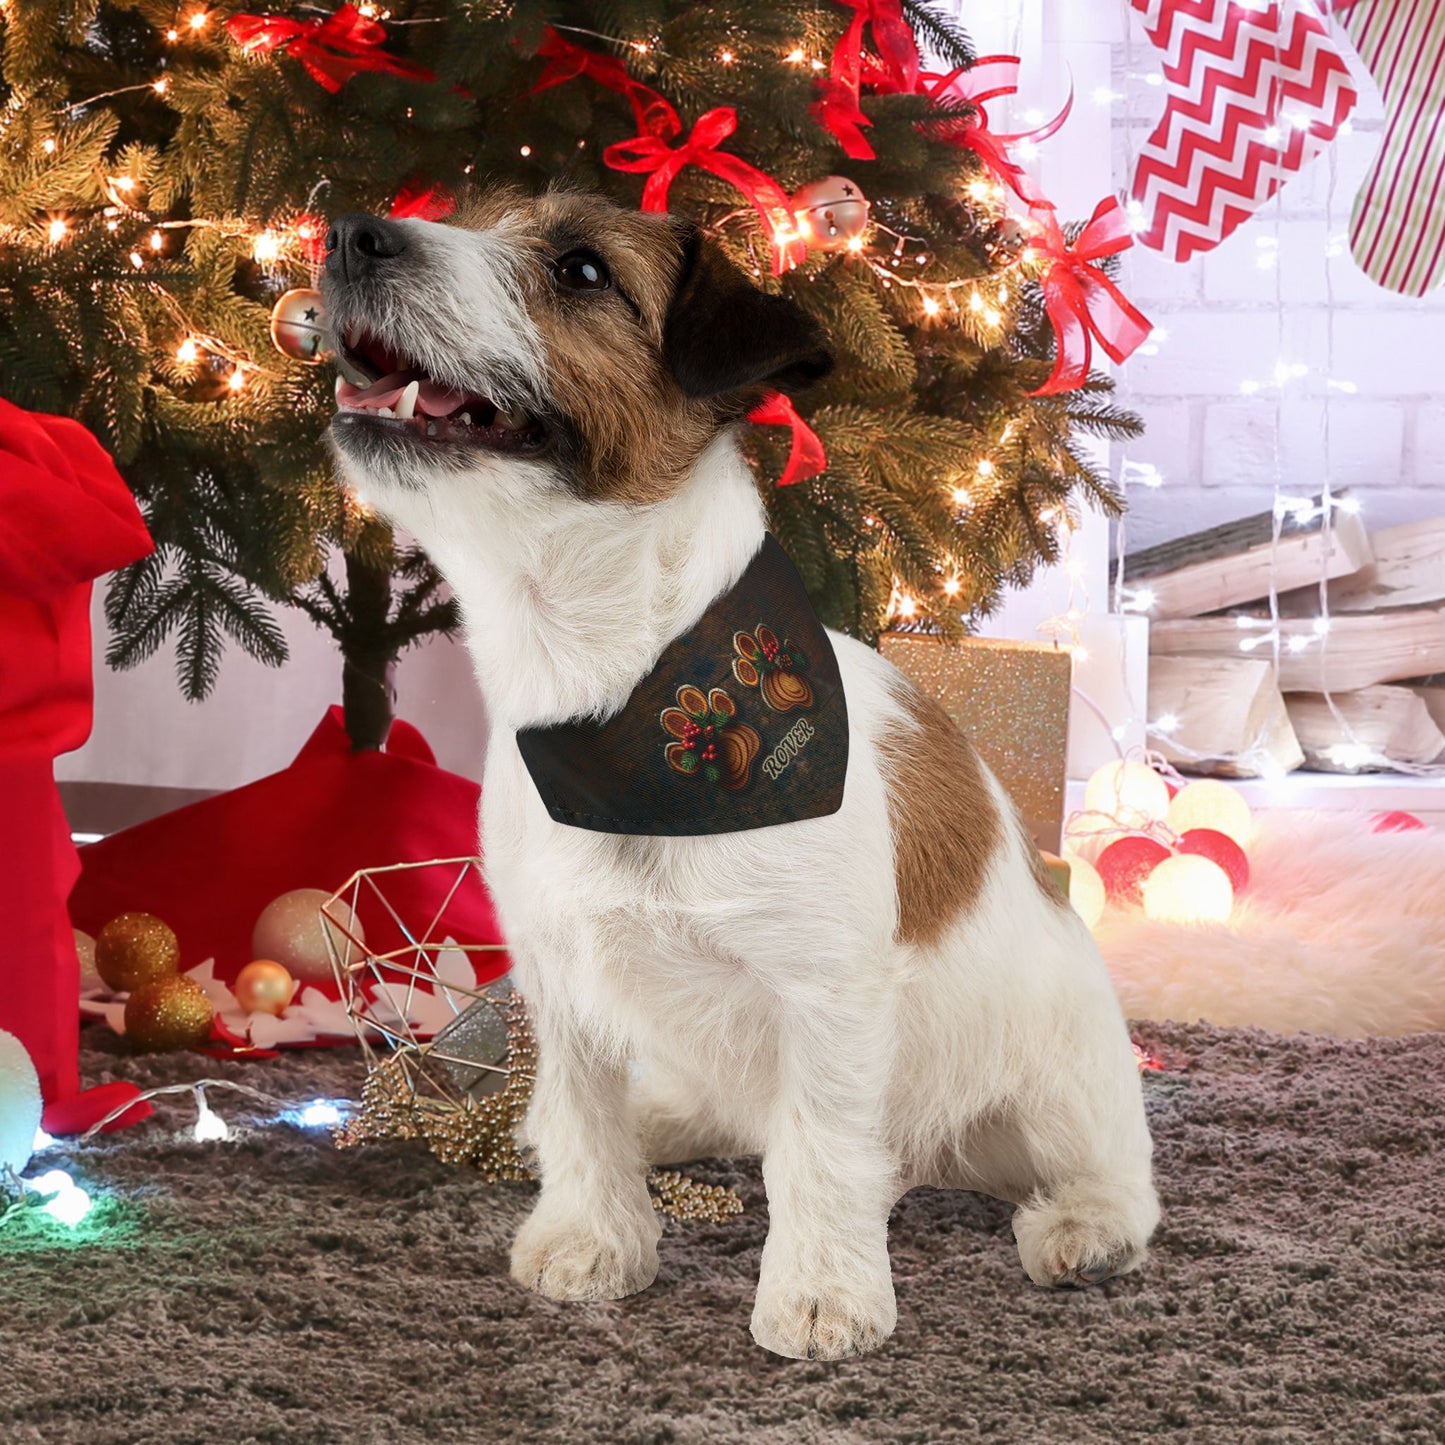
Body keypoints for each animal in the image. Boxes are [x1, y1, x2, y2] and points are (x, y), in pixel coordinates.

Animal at [322, 186, 1156, 1358]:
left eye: (581, 269)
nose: (348, 233)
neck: (616, 703)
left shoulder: (823, 992)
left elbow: (818, 1147)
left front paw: (820, 1291)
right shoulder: (559, 977)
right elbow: (579, 1112)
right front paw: (594, 1239)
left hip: (1059, 1074)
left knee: (1105, 1171)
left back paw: (1081, 1222)